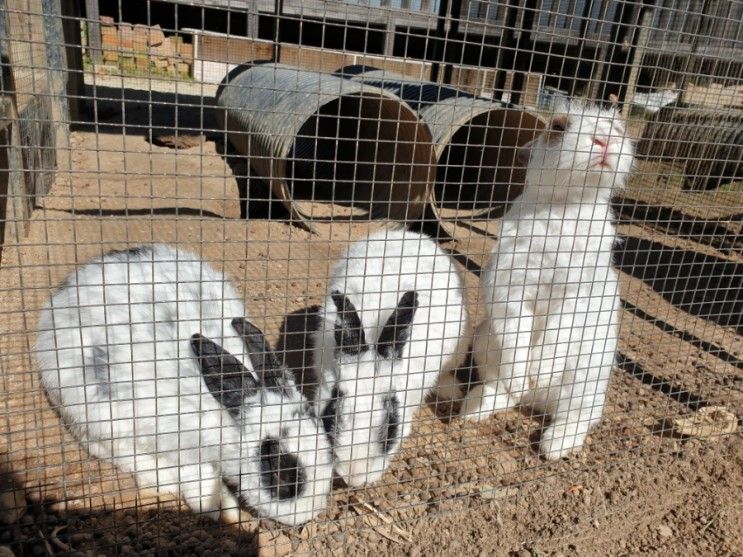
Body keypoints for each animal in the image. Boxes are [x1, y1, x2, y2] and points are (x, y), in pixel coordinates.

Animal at [35, 244, 332, 524]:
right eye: (280, 473)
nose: (308, 514)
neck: (226, 417)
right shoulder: (181, 447)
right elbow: (199, 479)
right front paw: (221, 511)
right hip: (93, 415)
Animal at [460, 102, 632, 458]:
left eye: (617, 128)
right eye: (559, 126)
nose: (604, 140)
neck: (566, 205)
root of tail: (536, 403)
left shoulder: (576, 298)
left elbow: (553, 337)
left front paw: (539, 372)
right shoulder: (511, 290)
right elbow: (518, 339)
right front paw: (524, 375)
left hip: (586, 376)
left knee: (579, 416)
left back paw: (553, 445)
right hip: (485, 341)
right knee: (503, 388)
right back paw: (479, 407)